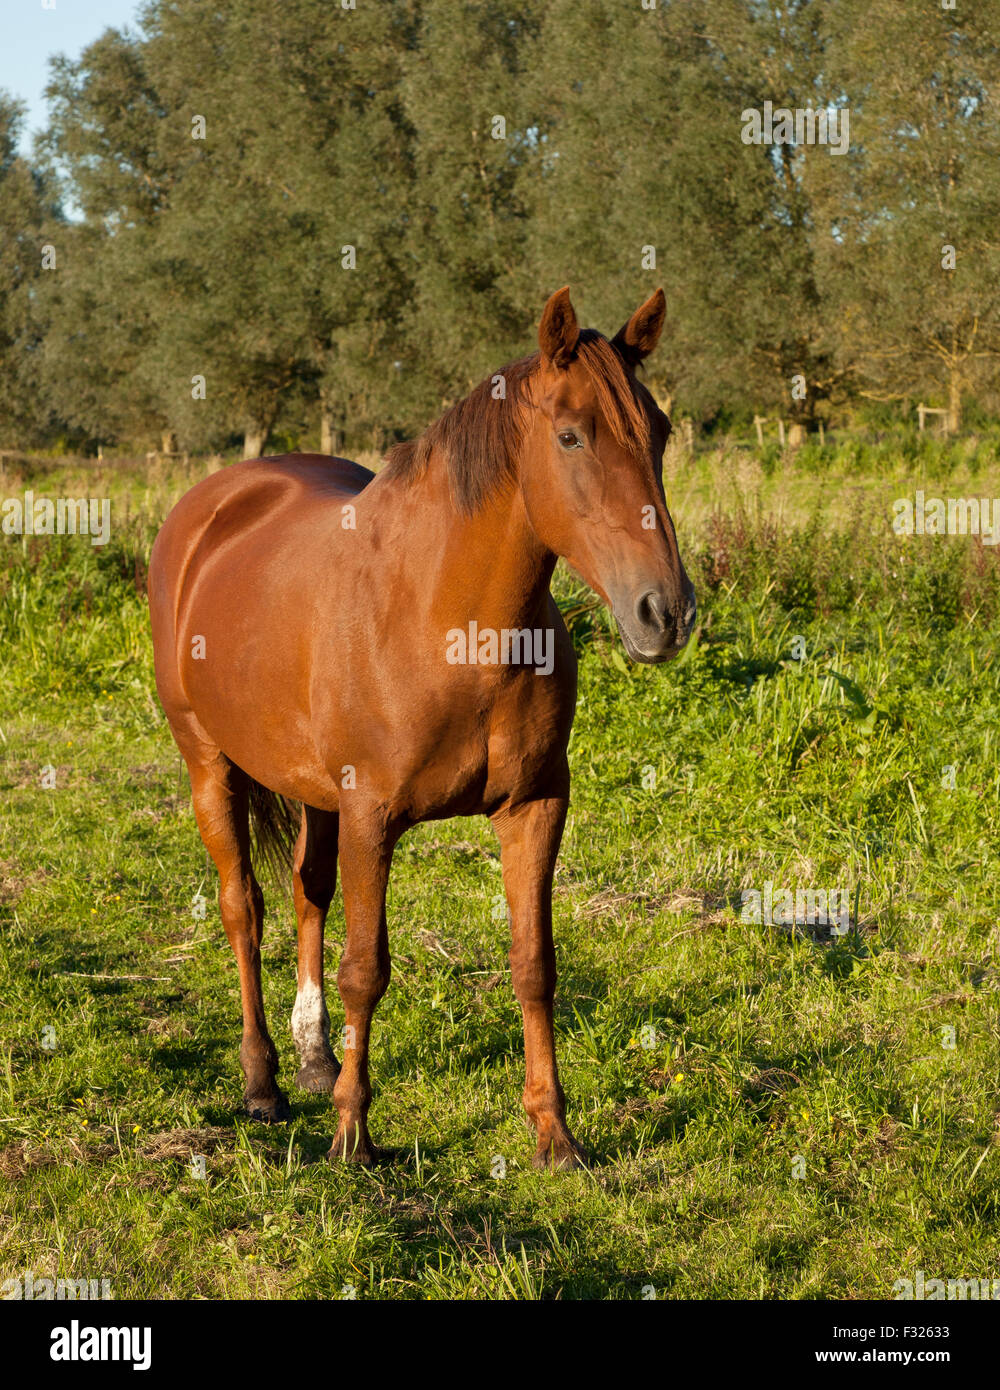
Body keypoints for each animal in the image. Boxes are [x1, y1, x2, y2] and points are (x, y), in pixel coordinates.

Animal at [147, 287, 695, 1169]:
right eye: (571, 435)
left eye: (661, 432)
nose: (666, 612)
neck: (450, 620)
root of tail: (213, 504)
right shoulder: (373, 816)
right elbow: (366, 970)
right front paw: (353, 1134)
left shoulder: (534, 807)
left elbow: (534, 964)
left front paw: (554, 1133)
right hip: (210, 766)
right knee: (244, 909)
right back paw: (264, 1083)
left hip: (315, 794)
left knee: (307, 893)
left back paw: (313, 1058)